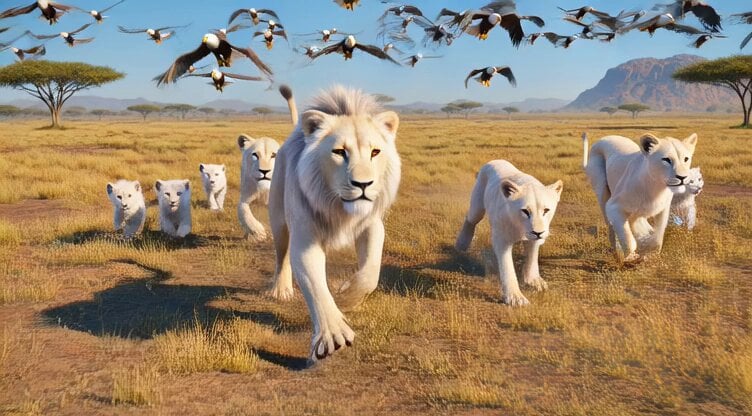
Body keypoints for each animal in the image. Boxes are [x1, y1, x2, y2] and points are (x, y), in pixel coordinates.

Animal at [267, 84, 401, 361]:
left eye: (375, 152)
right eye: (340, 152)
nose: (363, 184)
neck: (340, 209)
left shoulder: (372, 225)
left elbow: (370, 272)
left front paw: (349, 298)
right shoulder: (305, 237)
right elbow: (316, 287)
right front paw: (332, 336)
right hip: (278, 219)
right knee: (281, 255)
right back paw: (281, 290)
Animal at [455, 160, 563, 306]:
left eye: (546, 210)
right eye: (525, 211)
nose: (538, 232)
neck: (520, 228)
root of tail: (494, 160)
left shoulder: (533, 238)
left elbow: (532, 255)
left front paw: (534, 281)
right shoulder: (502, 240)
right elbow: (507, 266)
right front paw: (515, 298)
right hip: (477, 207)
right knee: (470, 219)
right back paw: (462, 244)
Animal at [582, 132, 698, 263]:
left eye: (686, 159)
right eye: (666, 160)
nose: (683, 177)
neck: (657, 188)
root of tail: (603, 138)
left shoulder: (663, 209)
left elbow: (658, 236)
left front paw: (651, 253)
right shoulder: (613, 206)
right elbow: (627, 237)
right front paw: (631, 256)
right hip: (602, 191)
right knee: (610, 226)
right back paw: (617, 252)